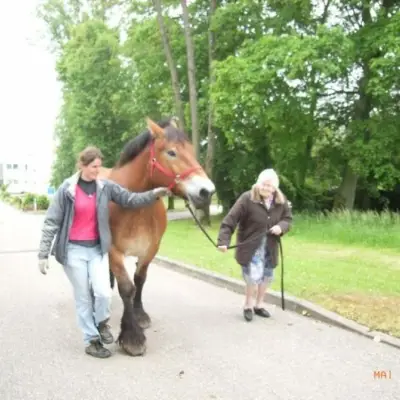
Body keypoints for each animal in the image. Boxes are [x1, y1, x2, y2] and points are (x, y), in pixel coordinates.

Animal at [98, 116, 214, 356]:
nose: (207, 192)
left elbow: (139, 280)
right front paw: (132, 336)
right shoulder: (113, 250)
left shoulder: (151, 249)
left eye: (191, 149)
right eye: (171, 152)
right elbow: (126, 287)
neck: (132, 204)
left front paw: (139, 315)